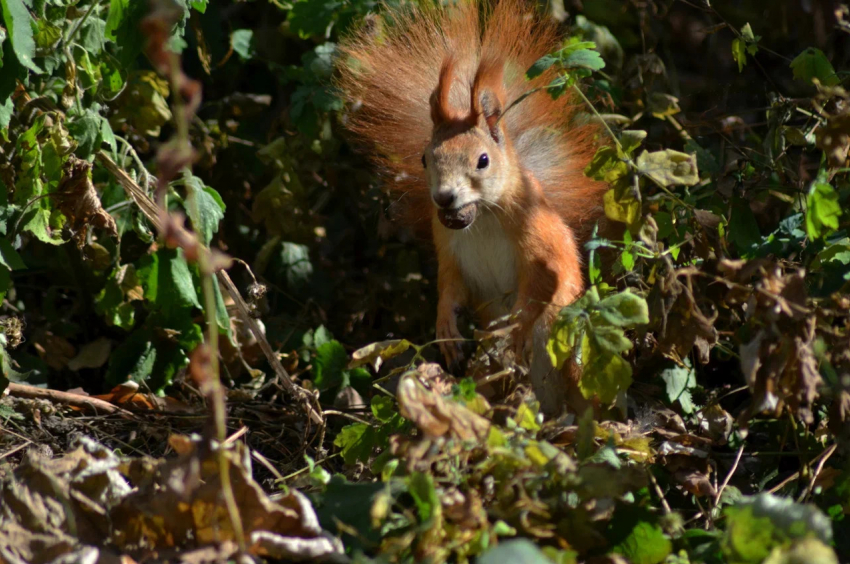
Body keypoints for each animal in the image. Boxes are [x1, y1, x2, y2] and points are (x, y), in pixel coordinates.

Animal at [334, 0, 608, 414]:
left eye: (483, 160)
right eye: (424, 158)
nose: (444, 197)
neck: (483, 218)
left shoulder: (540, 237)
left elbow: (548, 281)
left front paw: (519, 328)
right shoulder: (448, 247)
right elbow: (450, 285)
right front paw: (445, 327)